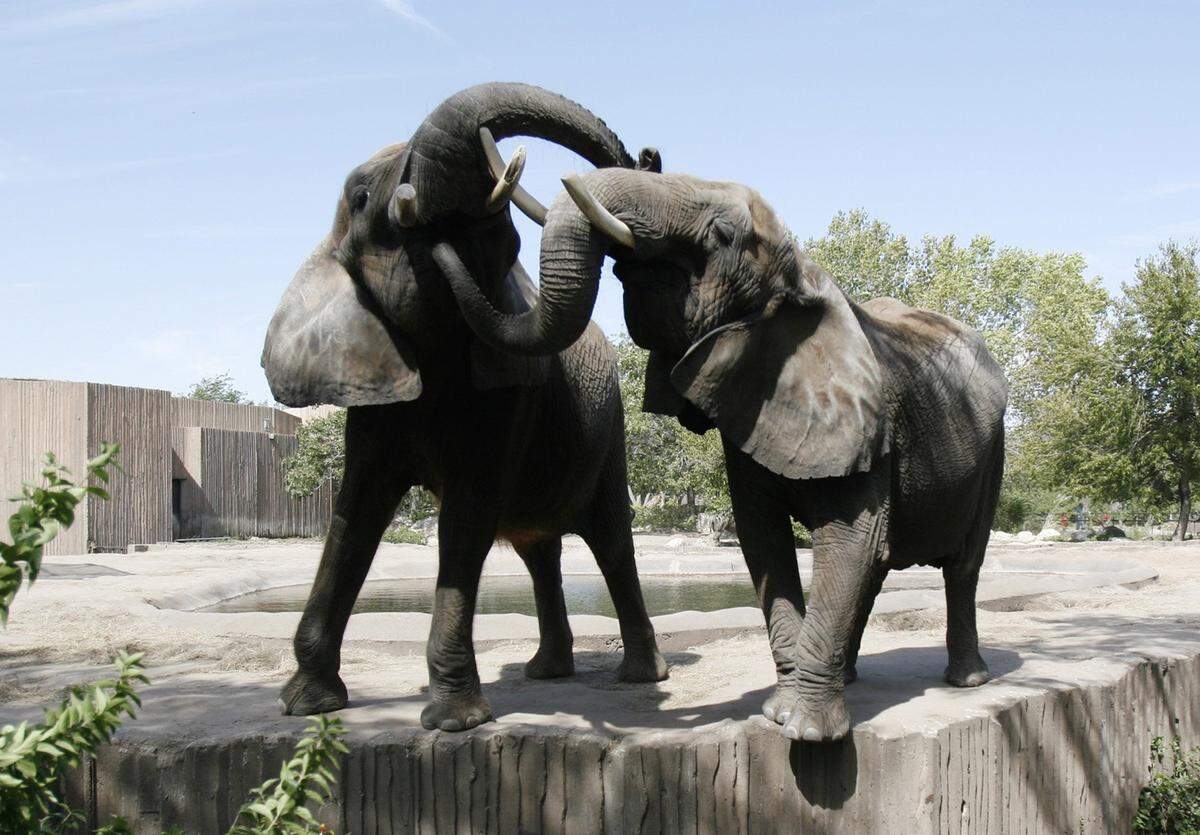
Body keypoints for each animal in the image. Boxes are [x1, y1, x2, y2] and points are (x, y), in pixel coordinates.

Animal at [261, 83, 667, 732]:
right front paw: (305, 705)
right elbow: (355, 512)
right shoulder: (373, 396)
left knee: (609, 538)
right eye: (361, 196)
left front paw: (455, 722)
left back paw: (640, 676)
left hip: (611, 432)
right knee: (538, 548)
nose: (651, 158)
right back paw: (545, 672)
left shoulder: (509, 395)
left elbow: (466, 515)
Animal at [435, 167, 1009, 742]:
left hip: (994, 452)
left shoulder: (869, 425)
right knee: (879, 569)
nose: (440, 245)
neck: (803, 281)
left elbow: (850, 538)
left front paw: (806, 732)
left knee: (961, 565)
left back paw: (966, 680)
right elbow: (765, 541)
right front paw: (778, 711)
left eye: (722, 235)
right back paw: (851, 676)